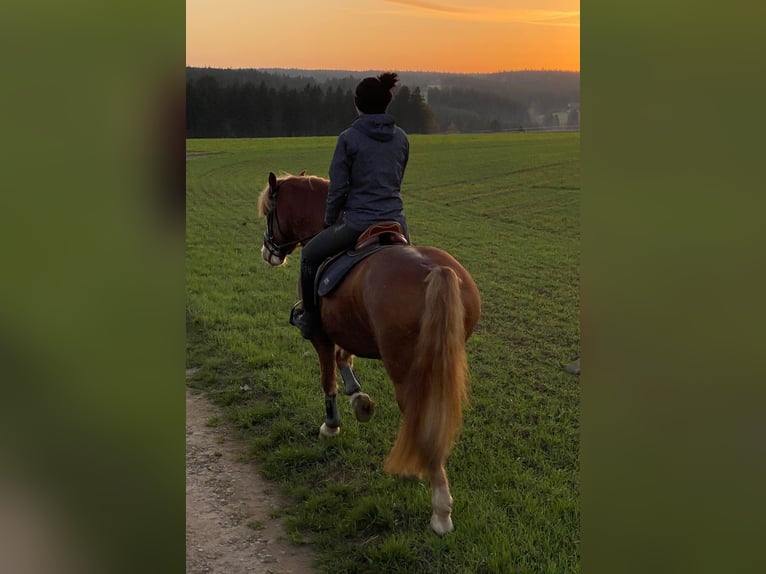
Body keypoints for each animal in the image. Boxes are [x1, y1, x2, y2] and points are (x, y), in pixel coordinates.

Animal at [260, 171, 484, 536]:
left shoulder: (321, 334)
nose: (267, 251)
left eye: (270, 212)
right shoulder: (346, 326)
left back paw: (439, 509)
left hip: (406, 369)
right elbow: (344, 360)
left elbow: (328, 378)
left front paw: (331, 425)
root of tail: (436, 272)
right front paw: (359, 400)